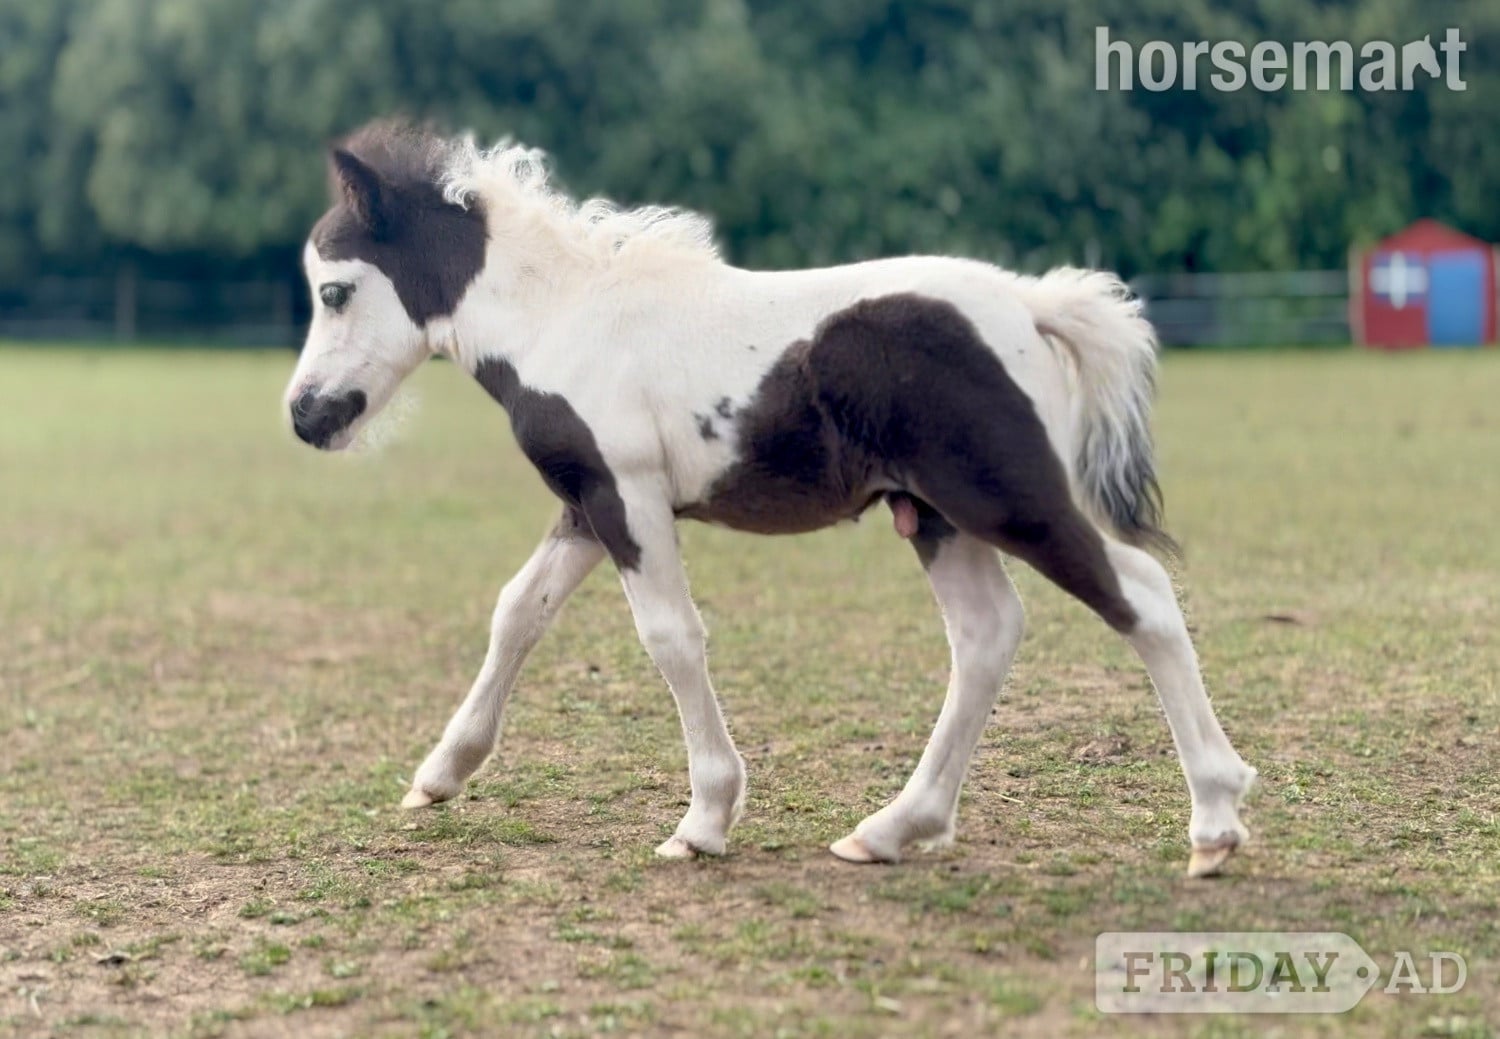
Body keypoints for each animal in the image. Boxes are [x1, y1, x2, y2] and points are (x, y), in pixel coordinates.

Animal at [284, 121, 1256, 877]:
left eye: (335, 290)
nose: (304, 414)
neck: (564, 315)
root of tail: (1028, 303)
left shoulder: (625, 495)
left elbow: (670, 638)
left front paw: (704, 819)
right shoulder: (588, 501)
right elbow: (518, 610)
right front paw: (439, 774)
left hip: (1008, 496)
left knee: (1140, 594)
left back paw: (1214, 820)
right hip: (936, 515)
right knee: (987, 635)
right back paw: (892, 829)